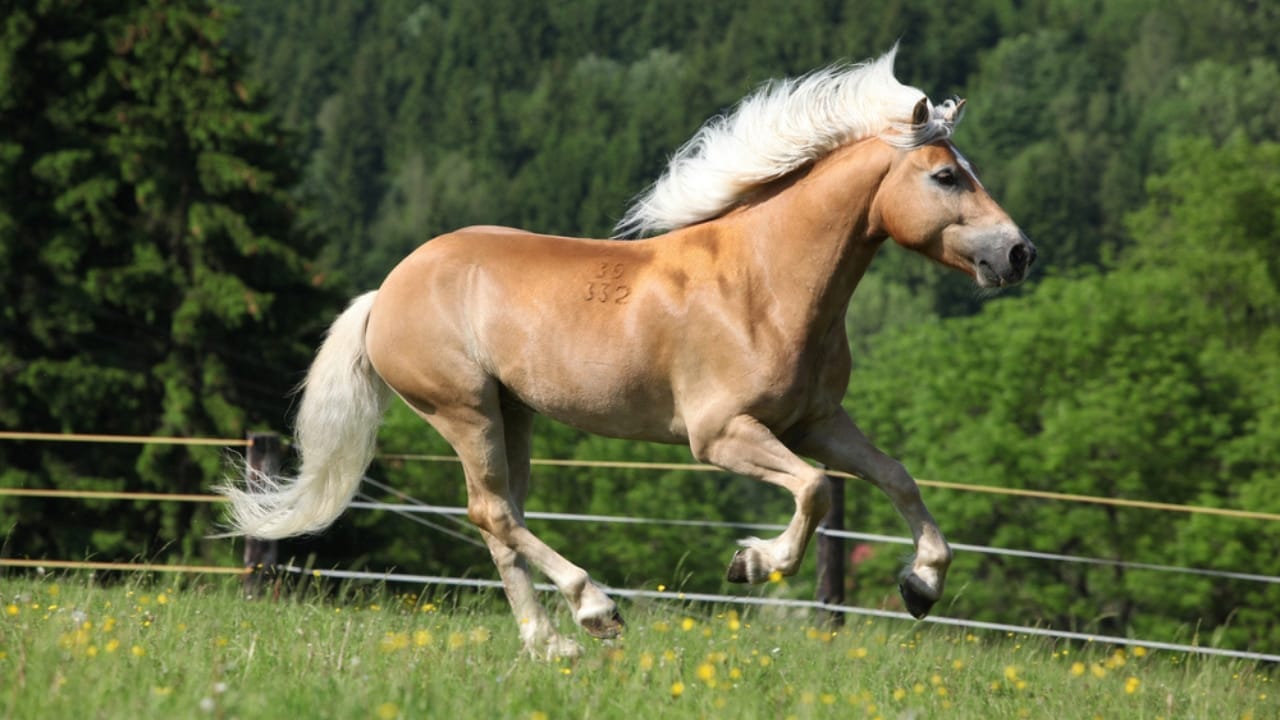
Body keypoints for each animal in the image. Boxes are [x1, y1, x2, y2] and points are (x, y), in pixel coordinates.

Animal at [217, 47, 1035, 659]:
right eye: (946, 175)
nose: (1020, 254)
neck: (763, 284)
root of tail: (386, 291)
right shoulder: (721, 435)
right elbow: (813, 492)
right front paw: (752, 562)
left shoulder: (816, 422)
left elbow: (895, 477)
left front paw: (921, 585)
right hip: (463, 409)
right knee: (493, 513)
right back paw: (595, 612)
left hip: (513, 414)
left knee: (500, 518)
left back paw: (550, 642)